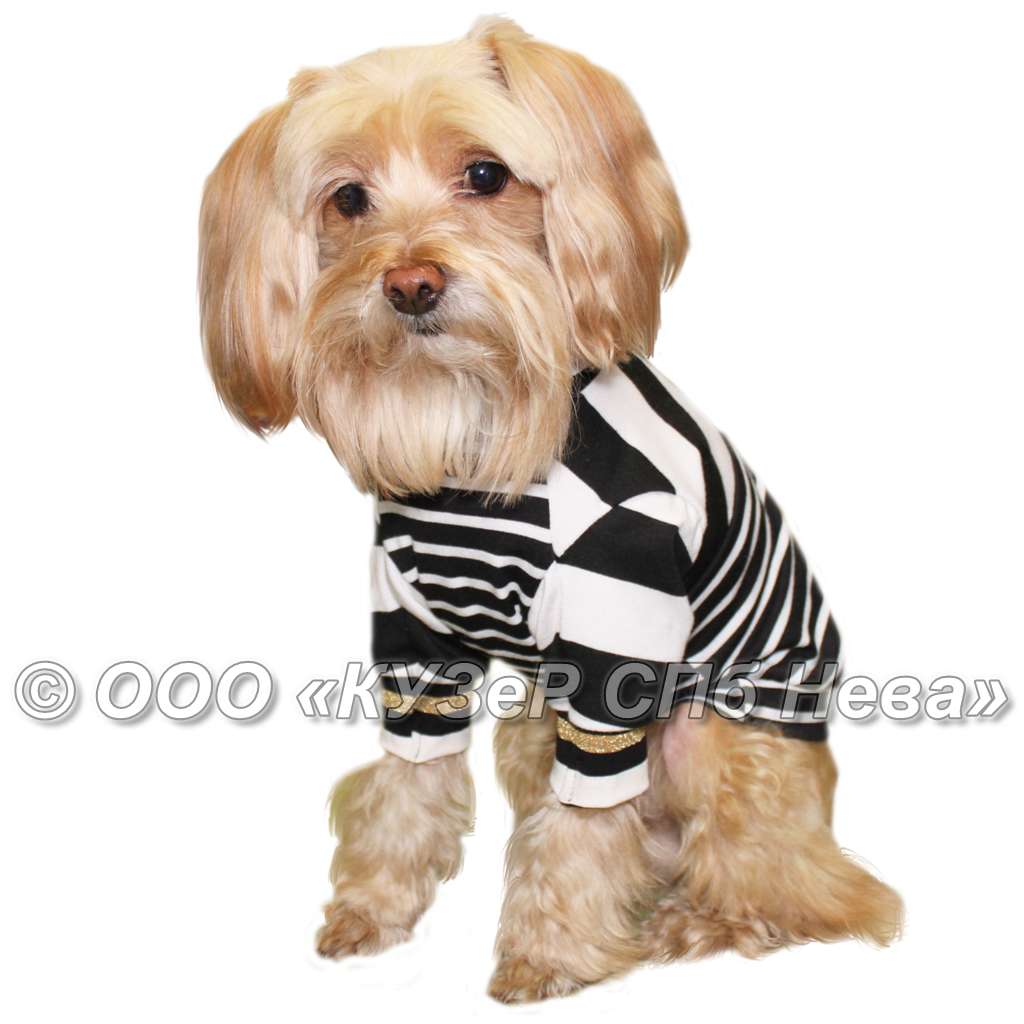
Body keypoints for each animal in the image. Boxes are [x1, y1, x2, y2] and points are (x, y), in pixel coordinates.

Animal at [198, 16, 902, 1003]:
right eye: (347, 199)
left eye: (486, 174)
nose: (410, 282)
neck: (474, 430)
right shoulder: (414, 646)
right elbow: (410, 781)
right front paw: (375, 908)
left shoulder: (615, 654)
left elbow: (583, 824)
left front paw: (546, 954)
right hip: (534, 726)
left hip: (712, 741)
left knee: (798, 891)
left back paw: (698, 924)